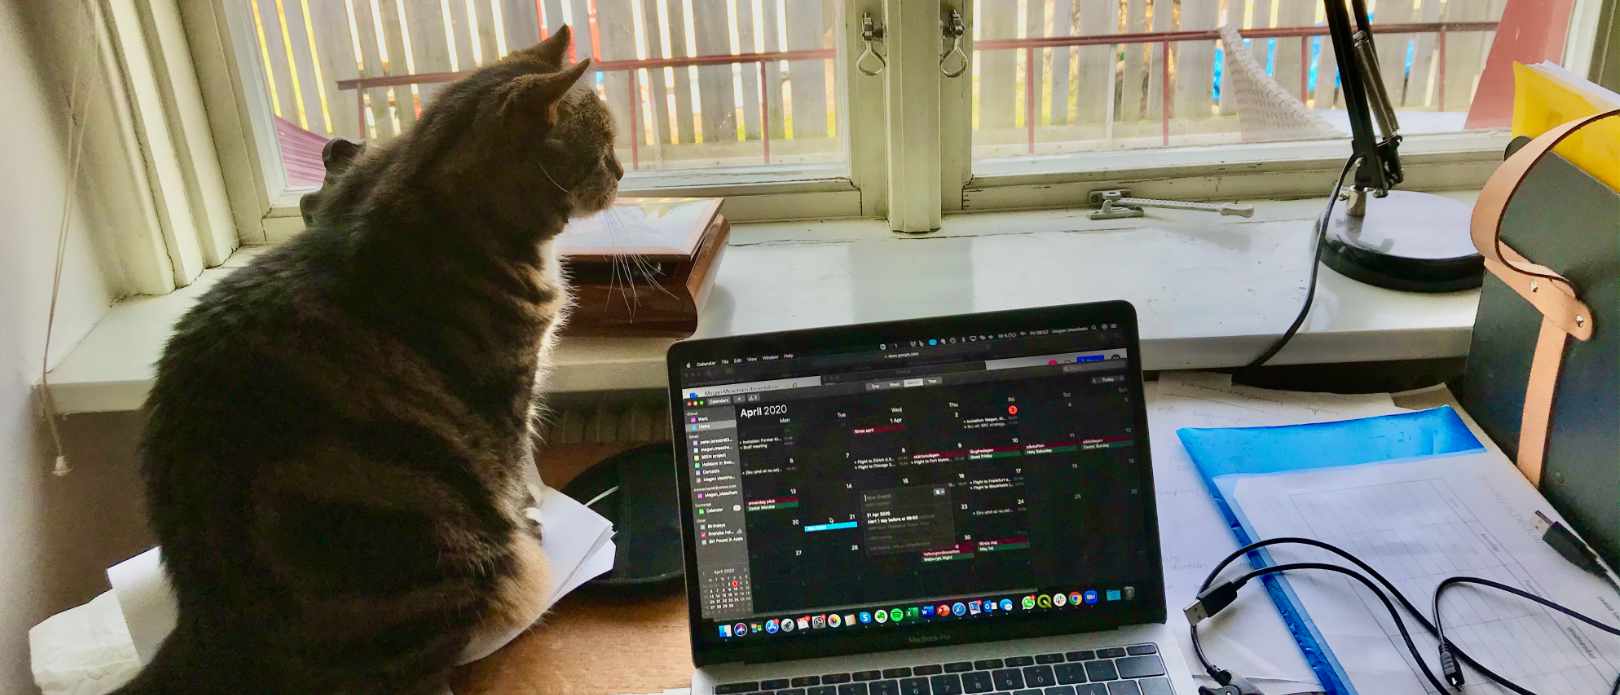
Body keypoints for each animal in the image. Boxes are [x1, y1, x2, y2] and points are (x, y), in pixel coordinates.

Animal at [114, 25, 623, 695]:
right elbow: (515, 477)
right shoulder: (504, 400)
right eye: (604, 150)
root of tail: (207, 623)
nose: (623, 170)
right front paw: (531, 520)